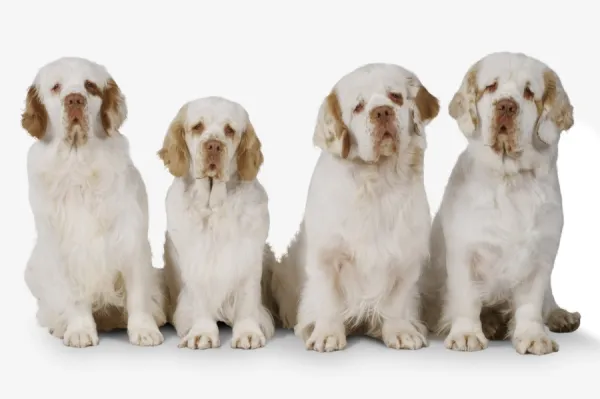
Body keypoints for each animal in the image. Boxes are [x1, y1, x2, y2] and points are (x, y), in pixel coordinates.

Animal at [22, 57, 166, 348]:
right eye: (56, 87)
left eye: (90, 86)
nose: (74, 99)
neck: (79, 164)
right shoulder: (64, 247)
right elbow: (75, 296)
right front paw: (79, 330)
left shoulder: (131, 238)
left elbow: (138, 294)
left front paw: (144, 330)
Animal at [157, 96, 274, 350]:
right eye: (197, 127)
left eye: (230, 130)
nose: (213, 145)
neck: (213, 207)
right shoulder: (196, 259)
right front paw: (202, 333)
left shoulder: (248, 256)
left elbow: (247, 299)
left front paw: (248, 332)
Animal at [268, 63, 440, 354]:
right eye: (358, 107)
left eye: (396, 97)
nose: (382, 111)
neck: (377, 182)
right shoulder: (327, 256)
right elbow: (328, 299)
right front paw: (326, 334)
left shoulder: (406, 257)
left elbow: (396, 300)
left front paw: (401, 332)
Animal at [418, 52, 580, 356]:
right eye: (491, 86)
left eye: (529, 92)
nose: (506, 105)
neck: (509, 180)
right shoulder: (465, 250)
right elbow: (467, 297)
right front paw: (467, 335)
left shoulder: (541, 253)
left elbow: (531, 303)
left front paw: (533, 337)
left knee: (548, 301)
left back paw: (561, 316)